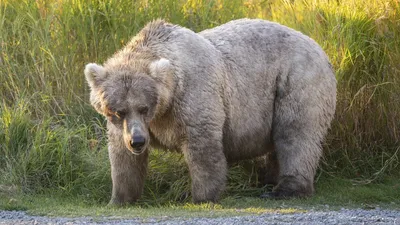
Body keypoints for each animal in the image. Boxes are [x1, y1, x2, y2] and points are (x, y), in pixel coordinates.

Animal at [84, 18, 338, 205]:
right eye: (118, 111)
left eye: (144, 107)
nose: (137, 141)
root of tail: (319, 47)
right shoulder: (128, 127)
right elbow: (123, 158)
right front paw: (119, 199)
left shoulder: (193, 94)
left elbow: (202, 146)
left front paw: (201, 196)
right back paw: (269, 180)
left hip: (295, 80)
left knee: (296, 134)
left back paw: (284, 188)